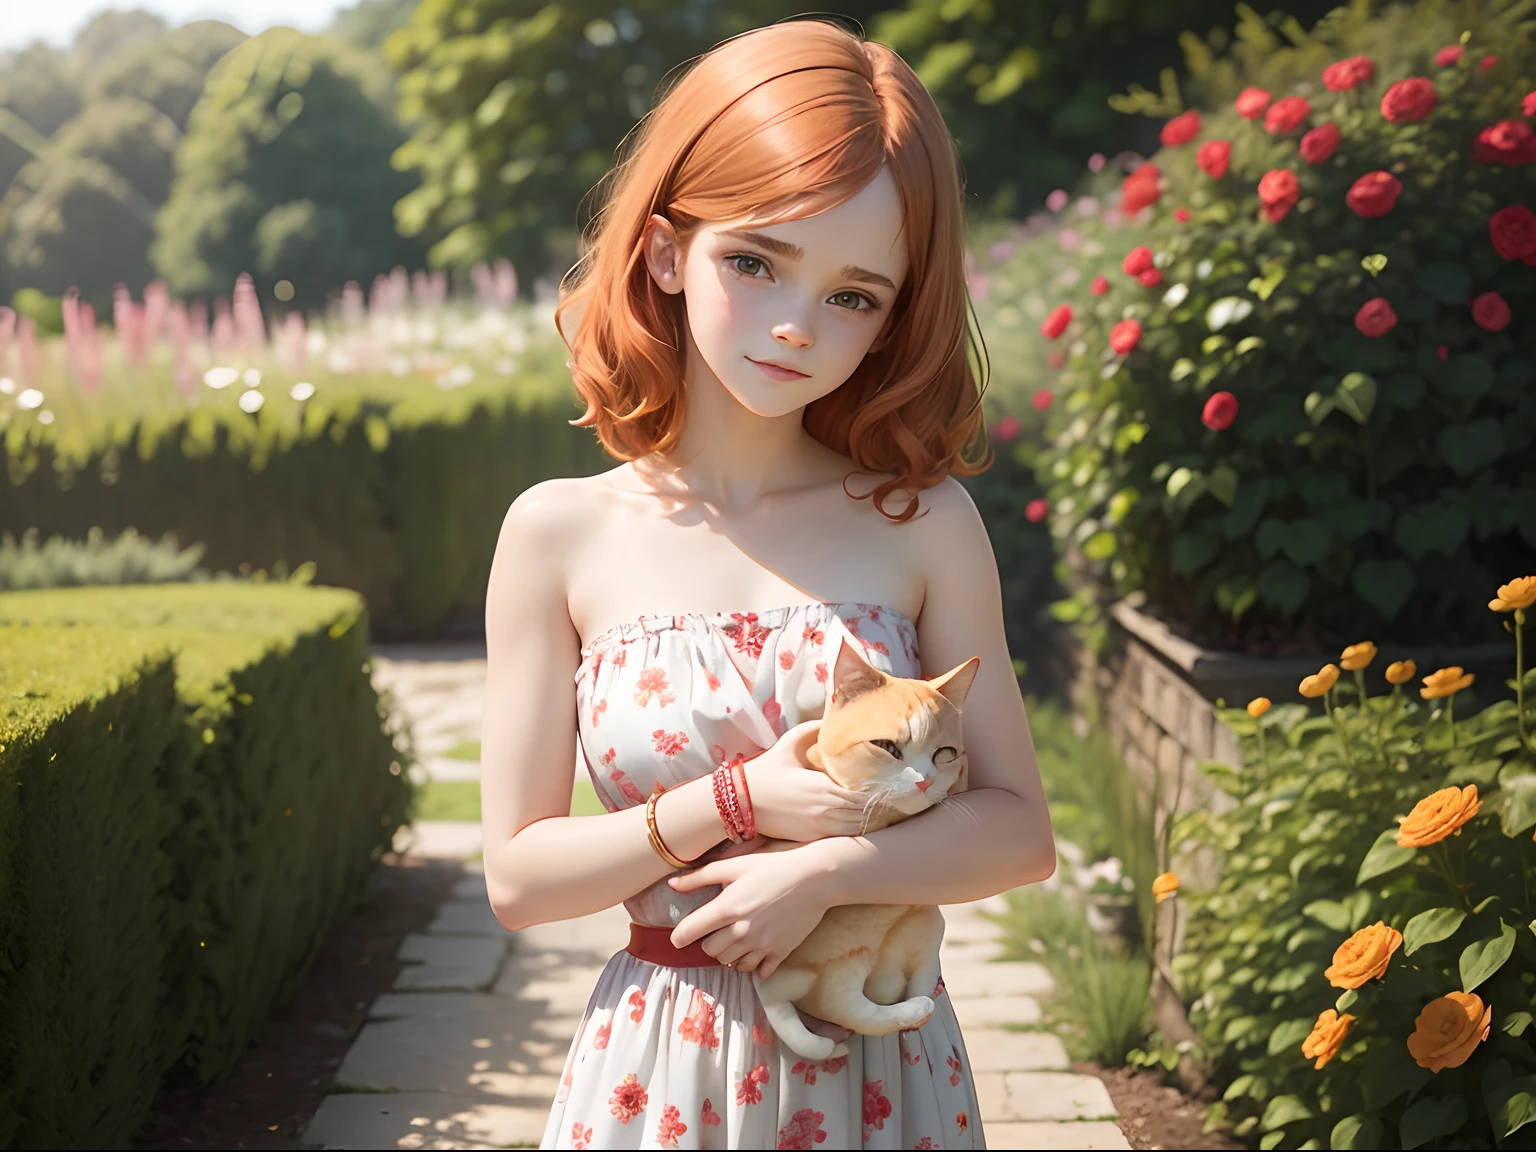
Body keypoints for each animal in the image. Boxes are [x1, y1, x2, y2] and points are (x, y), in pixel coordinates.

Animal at [749, 632, 976, 1062]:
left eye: (945, 754)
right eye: (887, 746)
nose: (924, 781)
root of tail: (775, 984)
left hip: (924, 921)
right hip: (845, 957)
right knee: (842, 1004)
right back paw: (912, 1008)